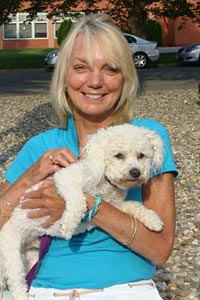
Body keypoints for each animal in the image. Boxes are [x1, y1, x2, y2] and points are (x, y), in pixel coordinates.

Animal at [0, 123, 164, 298]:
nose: (135, 172)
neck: (104, 184)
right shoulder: (65, 180)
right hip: (11, 250)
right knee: (16, 281)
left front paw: (152, 219)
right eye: (119, 155)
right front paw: (68, 226)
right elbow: (79, 201)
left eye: (141, 156)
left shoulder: (116, 205)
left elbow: (134, 205)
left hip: (31, 256)